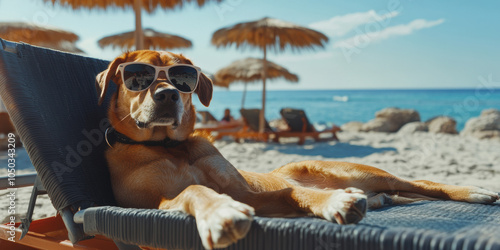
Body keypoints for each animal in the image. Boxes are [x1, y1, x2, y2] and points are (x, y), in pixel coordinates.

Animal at [95, 50, 498, 248]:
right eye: (138, 76)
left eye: (184, 77)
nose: (168, 95)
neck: (171, 146)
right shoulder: (157, 202)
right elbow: (195, 189)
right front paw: (219, 211)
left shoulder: (249, 192)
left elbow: (294, 193)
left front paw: (333, 201)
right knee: (399, 193)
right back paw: (380, 200)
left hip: (358, 170)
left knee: (421, 183)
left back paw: (473, 191)